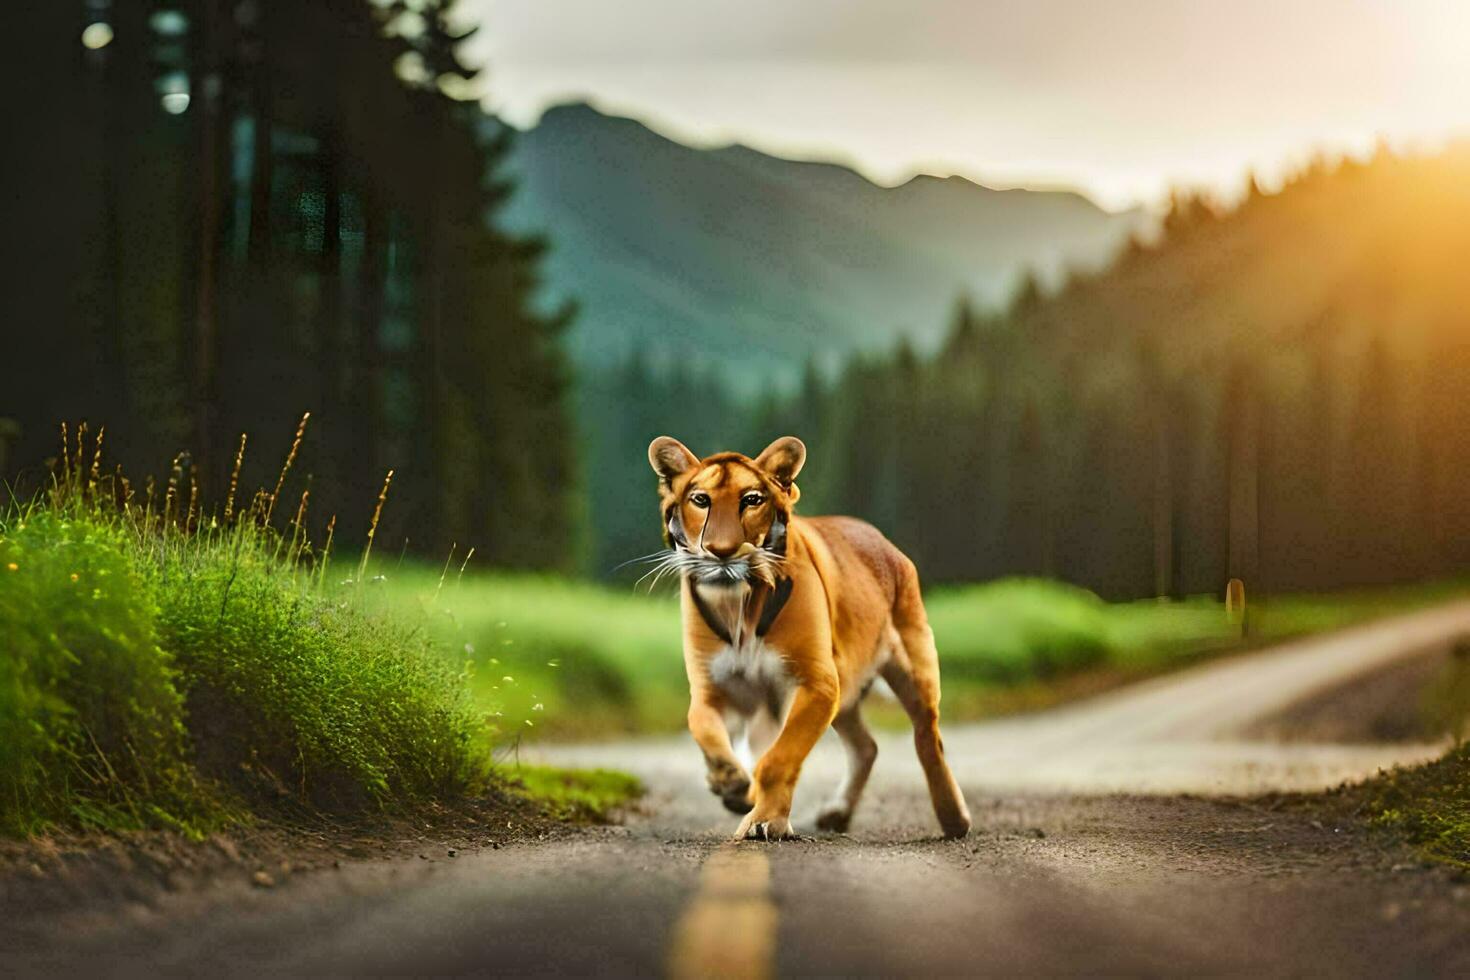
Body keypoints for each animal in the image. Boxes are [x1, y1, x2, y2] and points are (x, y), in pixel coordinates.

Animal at [646, 437, 970, 846]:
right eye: (700, 500)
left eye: (752, 500)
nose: (721, 551)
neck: (738, 607)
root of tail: (881, 539)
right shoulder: (712, 689)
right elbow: (704, 730)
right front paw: (731, 783)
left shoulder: (815, 684)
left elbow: (779, 758)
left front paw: (764, 821)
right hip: (845, 693)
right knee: (867, 746)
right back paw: (836, 812)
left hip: (912, 671)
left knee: (928, 739)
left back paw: (954, 818)